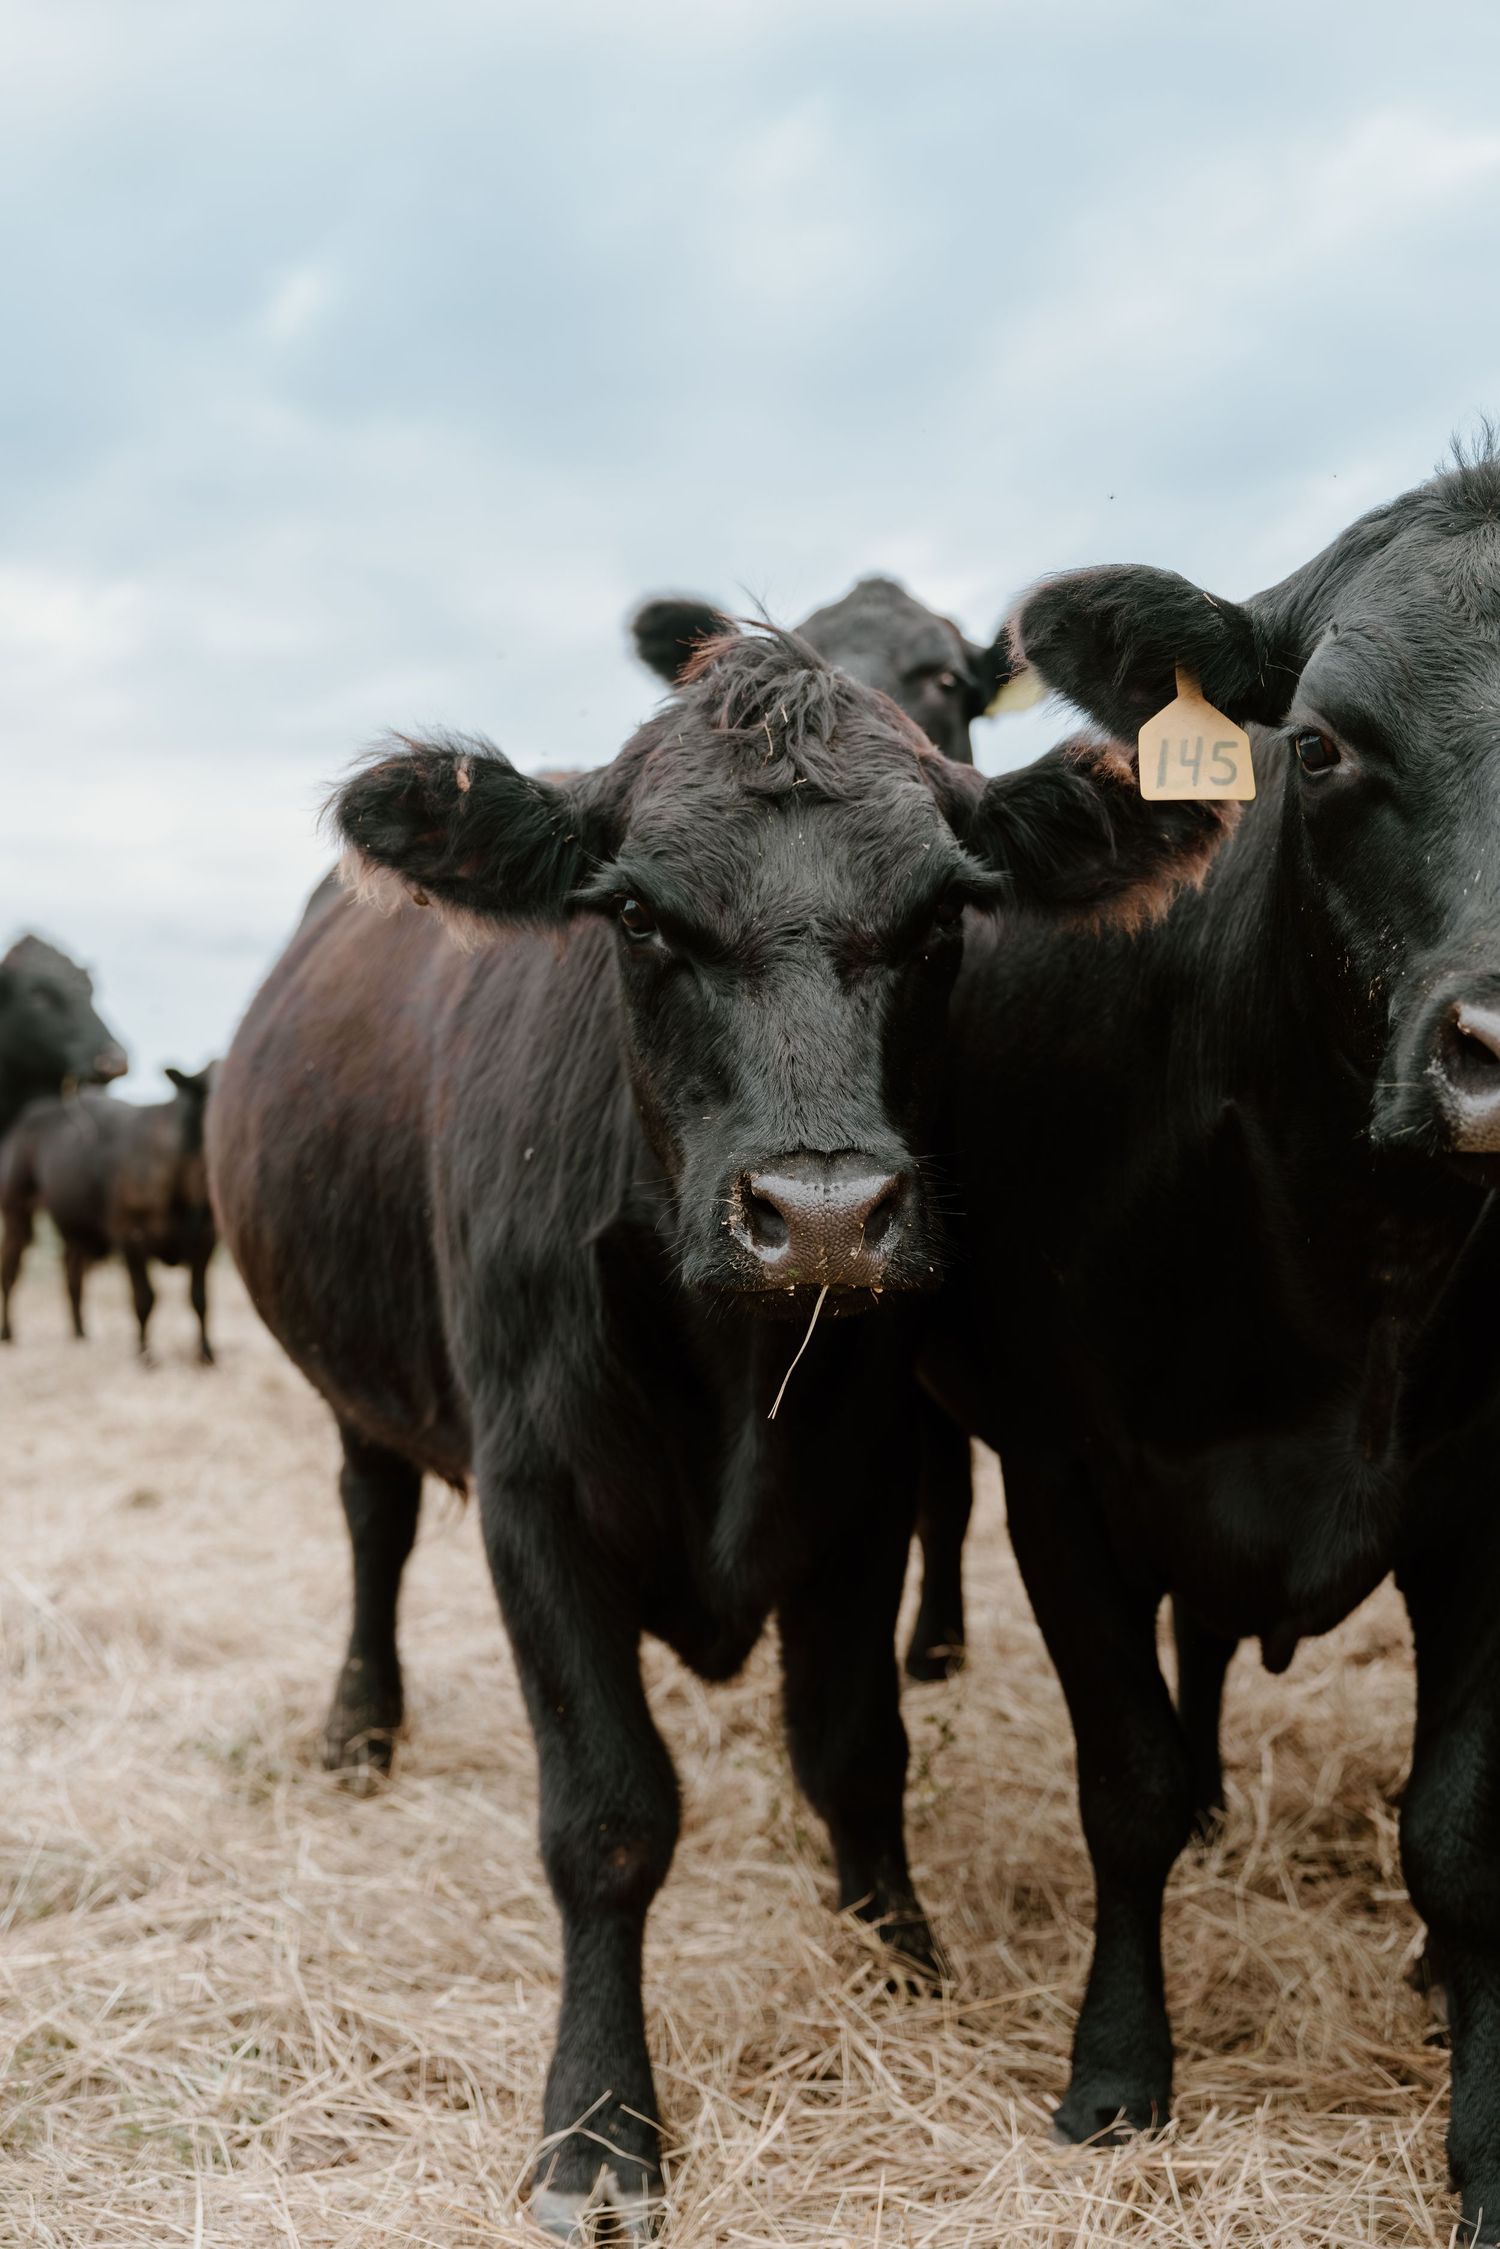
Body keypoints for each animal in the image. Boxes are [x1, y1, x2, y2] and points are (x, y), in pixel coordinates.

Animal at [0, 1067, 216, 1361]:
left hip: (77, 1226)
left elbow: (199, 1299)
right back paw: (8, 1333)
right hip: (16, 1209)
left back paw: (80, 1332)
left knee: (73, 1273)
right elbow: (145, 1298)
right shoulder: (130, 1235)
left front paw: (206, 1353)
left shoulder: (206, 1238)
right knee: (10, 1271)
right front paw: (145, 1354)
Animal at [920, 440, 1500, 2246]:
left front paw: (1481, 2126)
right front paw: (1117, 2075)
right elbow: (1128, 1786)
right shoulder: (1060, 1475)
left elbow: (1456, 1826)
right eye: (1319, 744)